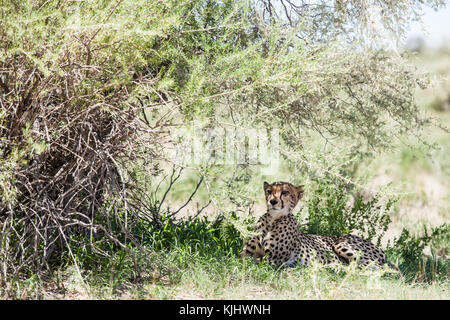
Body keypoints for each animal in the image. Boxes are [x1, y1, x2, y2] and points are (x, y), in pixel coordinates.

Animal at [243, 180, 390, 268]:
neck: (272, 220)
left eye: (284, 192)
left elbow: (257, 262)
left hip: (341, 244)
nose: (273, 201)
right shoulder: (246, 253)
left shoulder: (272, 260)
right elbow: (245, 259)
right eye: (269, 191)